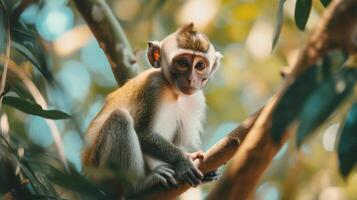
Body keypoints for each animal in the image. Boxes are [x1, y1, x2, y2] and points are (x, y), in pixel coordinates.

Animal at [81, 22, 222, 196]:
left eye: (200, 66)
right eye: (182, 63)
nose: (191, 79)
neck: (174, 92)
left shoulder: (196, 100)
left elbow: (183, 141)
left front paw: (199, 163)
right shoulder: (153, 85)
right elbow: (142, 133)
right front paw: (182, 160)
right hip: (102, 173)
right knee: (120, 118)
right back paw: (137, 186)